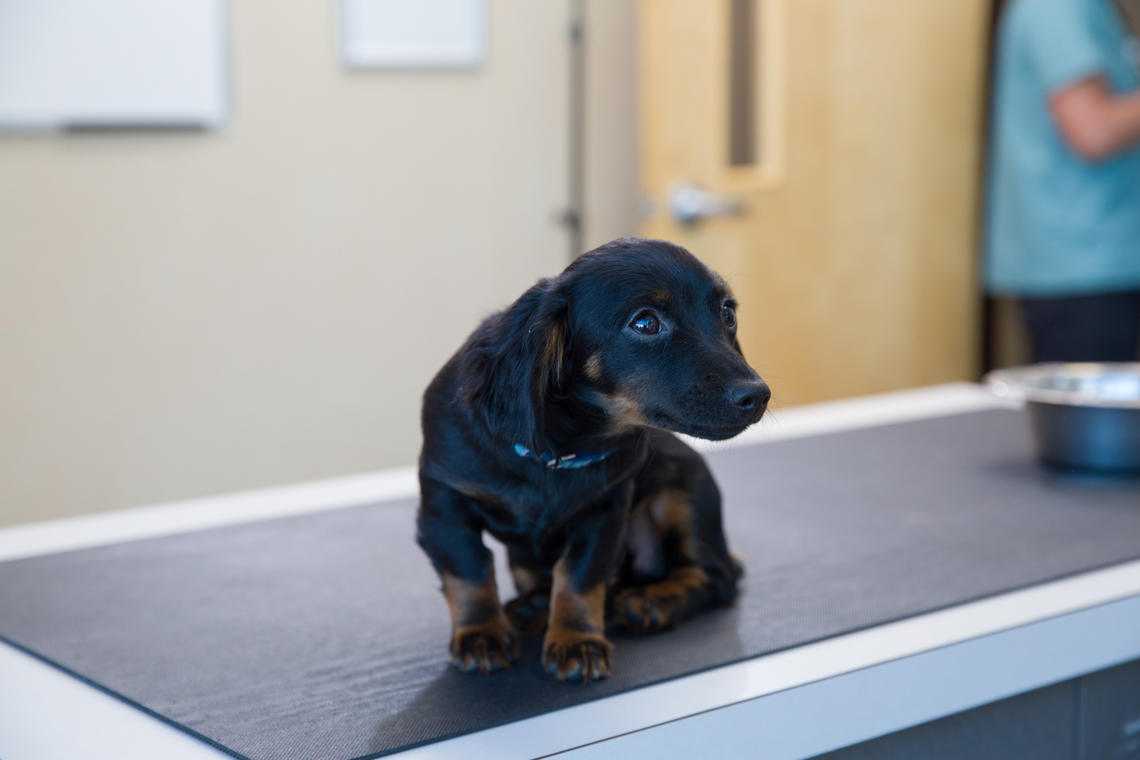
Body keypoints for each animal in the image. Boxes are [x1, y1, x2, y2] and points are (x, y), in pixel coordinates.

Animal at [414, 238, 770, 683]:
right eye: (645, 323)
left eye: (726, 312)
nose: (758, 395)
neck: (558, 453)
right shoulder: (445, 502)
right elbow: (469, 571)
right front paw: (482, 634)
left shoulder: (605, 511)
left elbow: (580, 576)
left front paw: (575, 639)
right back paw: (533, 605)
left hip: (685, 491)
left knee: (715, 576)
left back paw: (653, 600)